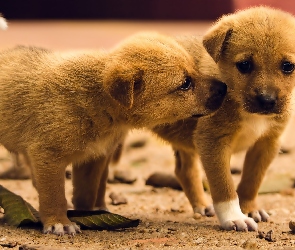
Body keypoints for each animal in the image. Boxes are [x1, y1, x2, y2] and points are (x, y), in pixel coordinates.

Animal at [0, 25, 228, 236]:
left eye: (195, 68)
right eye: (185, 83)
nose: (224, 88)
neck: (95, 98)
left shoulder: (92, 158)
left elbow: (85, 193)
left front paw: (87, 214)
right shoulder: (47, 155)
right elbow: (54, 194)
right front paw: (59, 222)